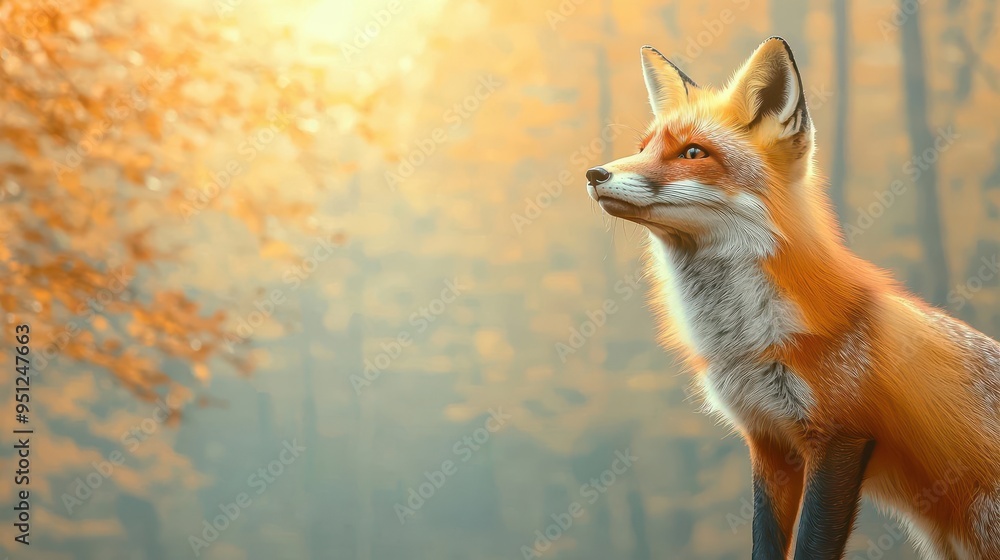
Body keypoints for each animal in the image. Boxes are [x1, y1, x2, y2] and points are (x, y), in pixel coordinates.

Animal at [586, 37, 1000, 559]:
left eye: (693, 152)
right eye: (643, 149)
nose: (594, 173)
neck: (748, 343)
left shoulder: (840, 437)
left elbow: (812, 545)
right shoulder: (768, 442)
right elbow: (766, 542)